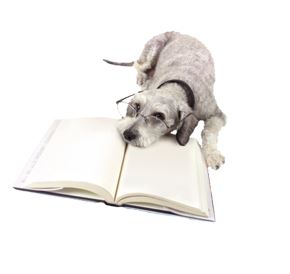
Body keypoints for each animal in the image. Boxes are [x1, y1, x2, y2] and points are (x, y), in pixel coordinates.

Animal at [104, 31, 227, 169]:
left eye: (159, 115)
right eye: (137, 106)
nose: (127, 134)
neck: (179, 84)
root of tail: (178, 32)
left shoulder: (216, 114)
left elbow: (208, 132)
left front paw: (212, 155)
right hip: (151, 53)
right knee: (138, 64)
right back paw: (142, 78)